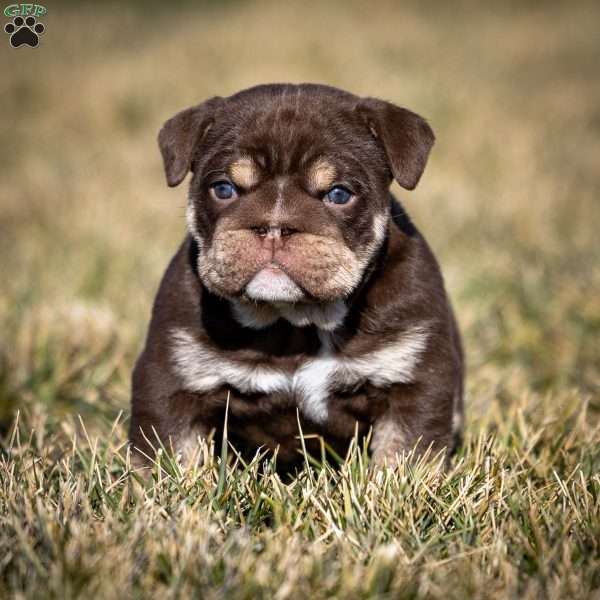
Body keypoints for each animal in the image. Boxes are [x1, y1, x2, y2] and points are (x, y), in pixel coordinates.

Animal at [129, 82, 462, 472]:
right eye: (223, 189)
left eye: (339, 194)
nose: (275, 227)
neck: (294, 323)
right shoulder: (173, 380)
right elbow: (170, 454)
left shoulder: (410, 380)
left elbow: (403, 454)